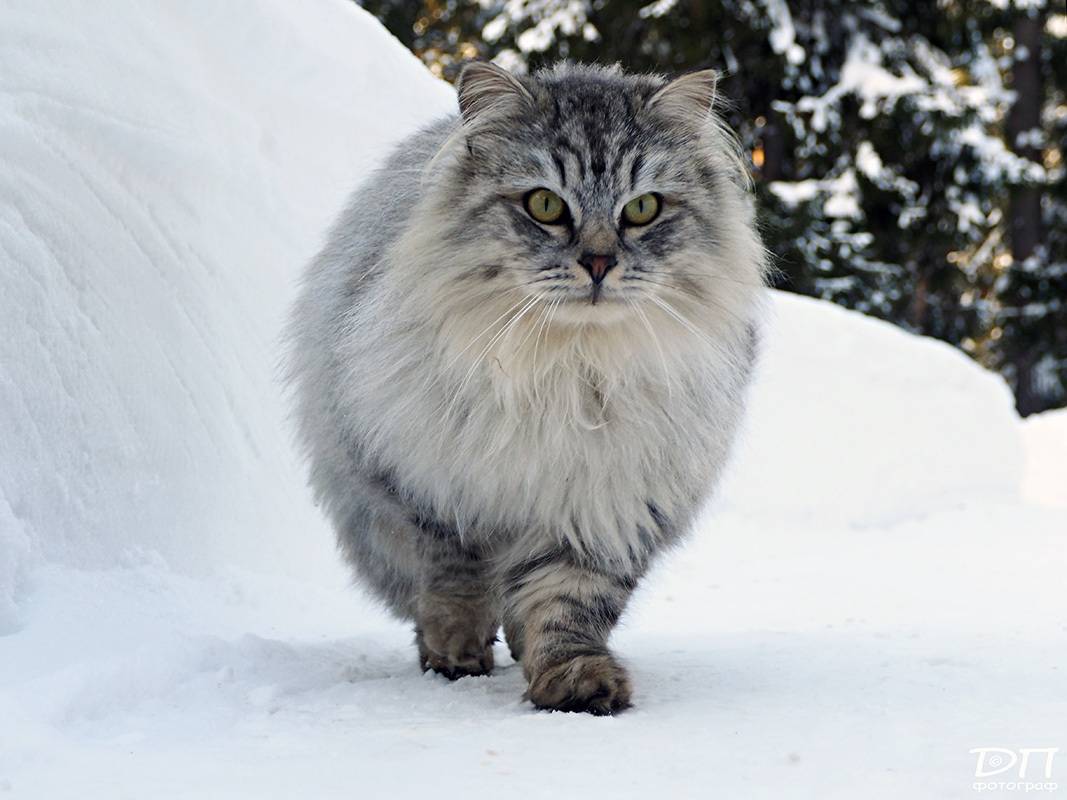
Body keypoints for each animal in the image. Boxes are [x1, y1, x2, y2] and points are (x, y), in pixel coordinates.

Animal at [283, 59, 768, 716]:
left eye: (642, 208)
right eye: (544, 204)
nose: (598, 263)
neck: (567, 368)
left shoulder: (603, 502)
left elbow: (568, 603)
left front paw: (574, 681)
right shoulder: (434, 490)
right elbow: (456, 581)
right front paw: (456, 654)